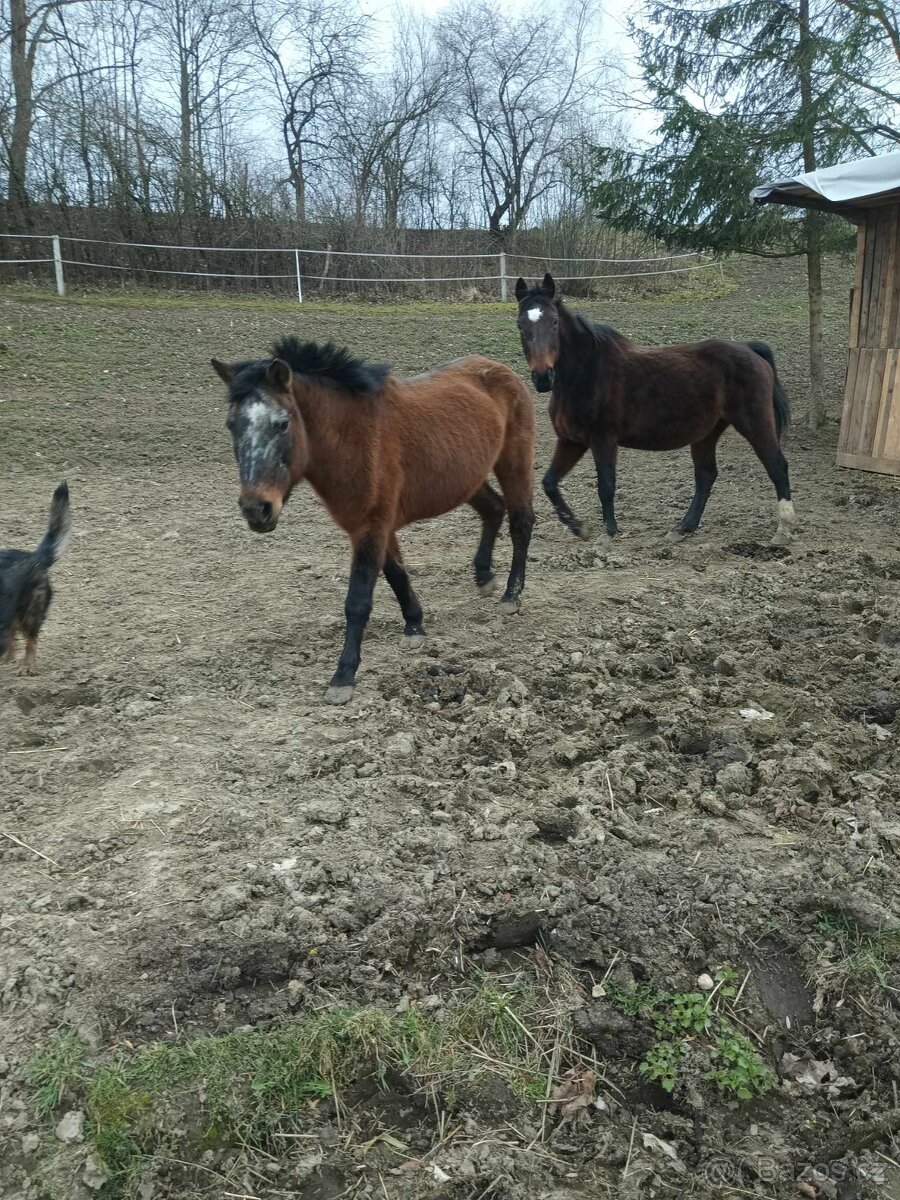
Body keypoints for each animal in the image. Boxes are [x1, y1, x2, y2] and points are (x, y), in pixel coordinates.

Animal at [211, 336, 535, 700]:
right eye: (232, 424)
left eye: (282, 423)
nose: (257, 509)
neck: (353, 436)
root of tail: (501, 369)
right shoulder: (372, 526)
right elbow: (395, 573)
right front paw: (414, 625)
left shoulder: (371, 525)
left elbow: (358, 600)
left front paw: (343, 676)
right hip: (467, 478)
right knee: (493, 509)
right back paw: (483, 575)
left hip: (513, 462)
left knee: (521, 522)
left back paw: (511, 595)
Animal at [513, 274, 796, 547]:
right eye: (520, 325)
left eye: (554, 322)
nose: (543, 377)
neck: (585, 374)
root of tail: (749, 348)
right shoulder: (571, 441)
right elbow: (549, 483)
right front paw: (580, 528)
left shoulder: (602, 439)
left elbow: (606, 485)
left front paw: (609, 533)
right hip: (707, 433)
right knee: (706, 475)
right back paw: (682, 529)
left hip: (755, 423)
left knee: (777, 466)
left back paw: (783, 531)